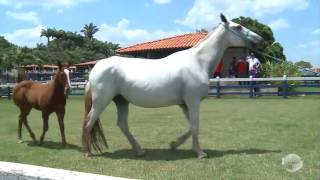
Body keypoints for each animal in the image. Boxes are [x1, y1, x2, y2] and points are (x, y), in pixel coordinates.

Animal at [82, 13, 262, 158]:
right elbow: (195, 126)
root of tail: (95, 69)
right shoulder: (193, 101)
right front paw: (200, 153)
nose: (260, 39)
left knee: (122, 125)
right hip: (102, 101)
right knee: (89, 121)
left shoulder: (185, 104)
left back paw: (139, 151)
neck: (198, 62)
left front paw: (175, 144)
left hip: (121, 101)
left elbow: (191, 126)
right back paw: (88, 153)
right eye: (238, 27)